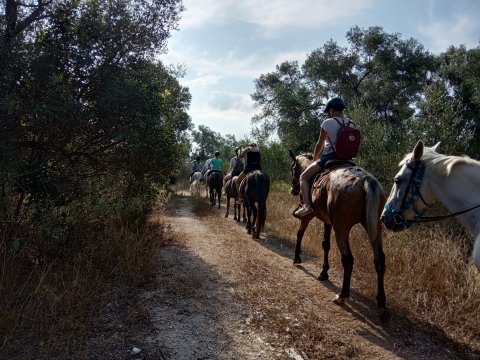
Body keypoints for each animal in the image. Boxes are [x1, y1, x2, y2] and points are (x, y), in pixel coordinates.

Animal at [288, 150, 386, 308]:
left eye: (293, 169)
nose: (294, 190)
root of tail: (366, 180)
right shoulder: (328, 221)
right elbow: (325, 244)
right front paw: (323, 272)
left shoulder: (309, 215)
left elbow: (300, 233)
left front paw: (297, 258)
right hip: (375, 227)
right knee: (379, 260)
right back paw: (381, 299)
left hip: (341, 228)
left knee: (348, 259)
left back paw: (343, 295)